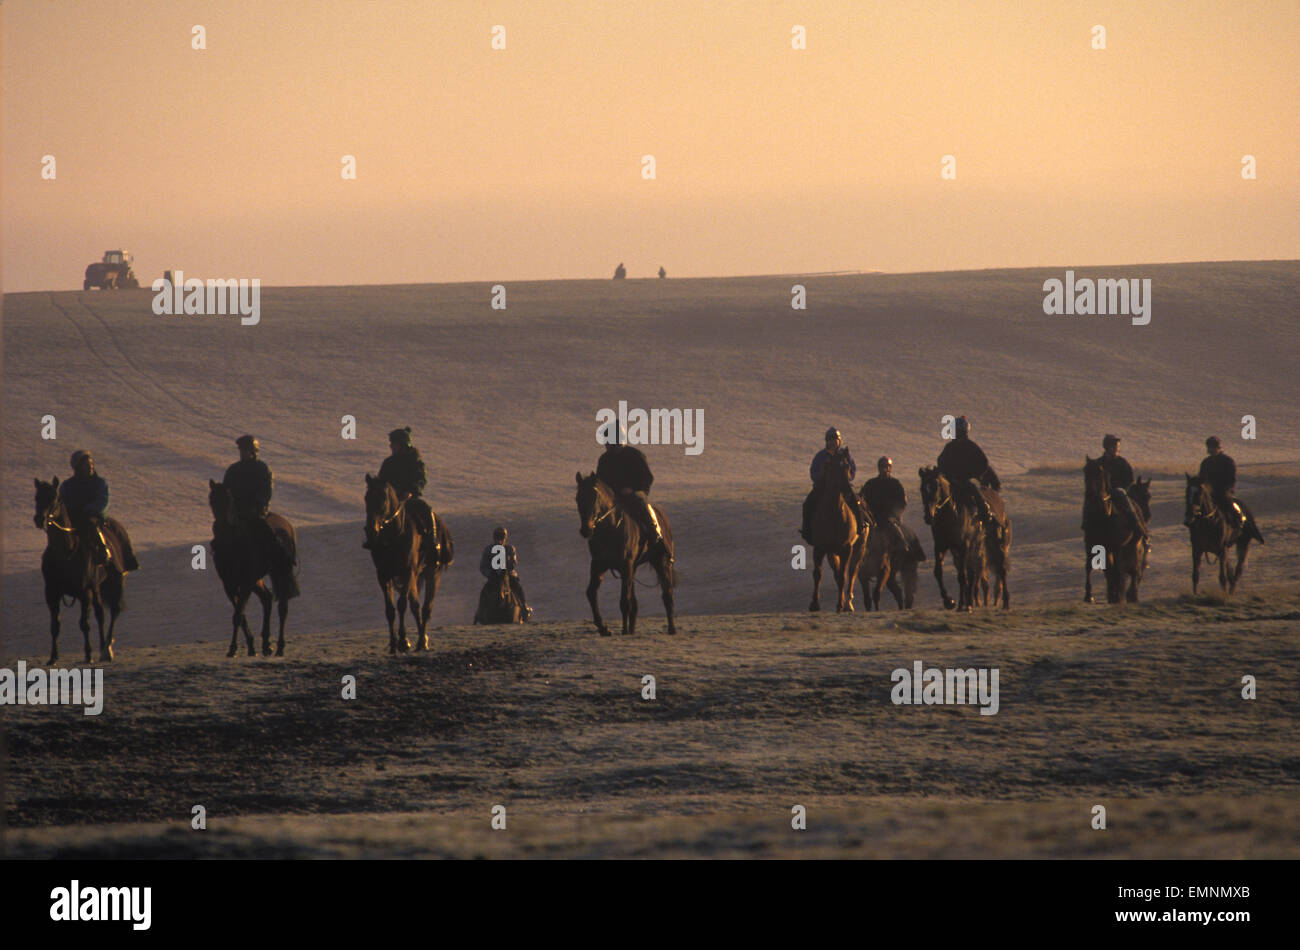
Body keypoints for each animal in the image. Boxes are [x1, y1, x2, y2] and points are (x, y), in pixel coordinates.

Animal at [32, 478, 127, 665]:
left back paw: (107, 650)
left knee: (113, 612)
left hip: (113, 582)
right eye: (37, 497)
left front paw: (88, 655)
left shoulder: (84, 592)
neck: (65, 552)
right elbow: (55, 625)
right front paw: (53, 657)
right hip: (97, 587)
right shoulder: (51, 593)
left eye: (55, 498)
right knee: (100, 614)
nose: (40, 519)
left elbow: (84, 623)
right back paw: (102, 648)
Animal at [206, 478, 297, 657]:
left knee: (282, 608)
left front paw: (233, 648)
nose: (221, 526)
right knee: (267, 598)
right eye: (211, 501)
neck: (233, 546)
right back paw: (266, 645)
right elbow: (240, 615)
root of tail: (287, 526)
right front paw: (250, 647)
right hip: (257, 580)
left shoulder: (245, 583)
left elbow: (238, 615)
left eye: (228, 499)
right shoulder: (229, 585)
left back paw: (280, 647)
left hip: (280, 572)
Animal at [361, 475, 452, 654]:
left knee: (426, 607)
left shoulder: (407, 571)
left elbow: (401, 605)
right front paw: (393, 644)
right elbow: (390, 609)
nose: (371, 530)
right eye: (366, 498)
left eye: (383, 498)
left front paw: (403, 642)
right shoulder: (383, 575)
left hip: (432, 573)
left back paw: (422, 642)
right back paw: (421, 641)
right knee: (416, 606)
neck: (394, 536)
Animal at [579, 475, 681, 639]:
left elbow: (624, 601)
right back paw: (632, 629)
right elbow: (591, 593)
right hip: (632, 569)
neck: (610, 530)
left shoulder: (626, 566)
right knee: (635, 601)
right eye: (578, 497)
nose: (586, 530)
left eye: (595, 497)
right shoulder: (599, 566)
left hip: (661, 562)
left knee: (667, 595)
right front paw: (604, 628)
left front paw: (624, 630)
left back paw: (671, 629)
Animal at [920, 465, 987, 613]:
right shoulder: (941, 546)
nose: (928, 517)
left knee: (970, 573)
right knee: (962, 572)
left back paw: (968, 603)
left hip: (974, 547)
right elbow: (938, 572)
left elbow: (964, 575)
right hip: (956, 552)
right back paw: (961, 604)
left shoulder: (964, 546)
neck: (951, 515)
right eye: (922, 489)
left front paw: (967, 605)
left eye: (936, 487)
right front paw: (949, 601)